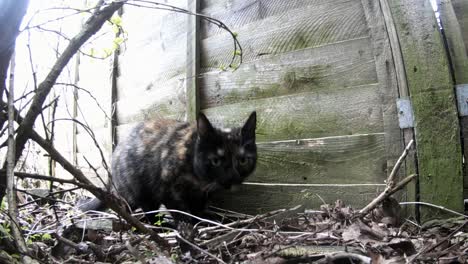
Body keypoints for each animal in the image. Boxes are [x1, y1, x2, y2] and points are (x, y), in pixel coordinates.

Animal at [80, 111, 256, 225]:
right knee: (140, 209)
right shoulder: (167, 189)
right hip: (138, 191)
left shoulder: (202, 195)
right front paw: (187, 228)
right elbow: (181, 213)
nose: (233, 178)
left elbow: (197, 212)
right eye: (215, 161)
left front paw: (199, 223)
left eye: (243, 160)